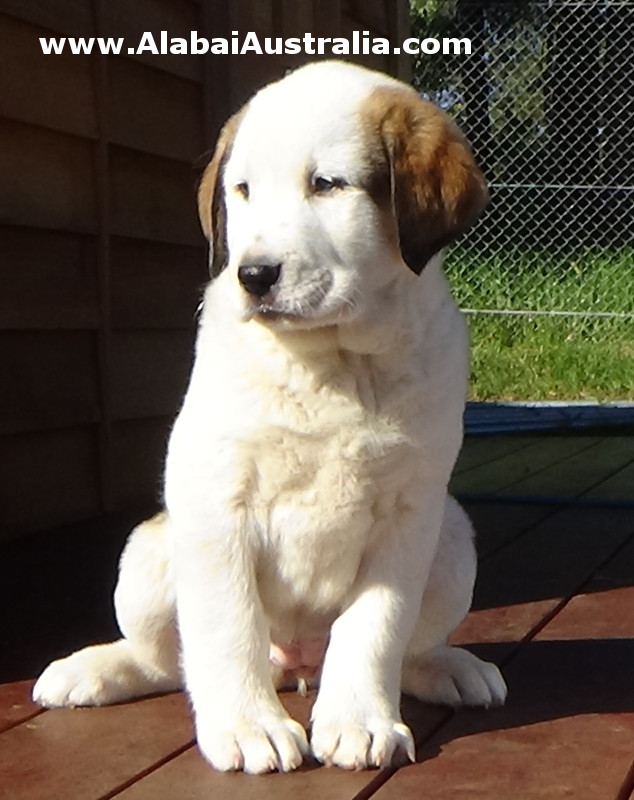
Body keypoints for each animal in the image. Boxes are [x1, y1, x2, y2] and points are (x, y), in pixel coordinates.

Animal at [35, 61, 508, 776]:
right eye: (243, 191)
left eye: (326, 185)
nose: (253, 275)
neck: (334, 361)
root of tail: (296, 664)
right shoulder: (215, 499)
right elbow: (225, 625)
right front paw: (246, 726)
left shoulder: (410, 513)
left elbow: (376, 626)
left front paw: (359, 720)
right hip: (148, 554)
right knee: (166, 660)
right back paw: (92, 670)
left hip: (452, 539)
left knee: (408, 648)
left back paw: (448, 667)